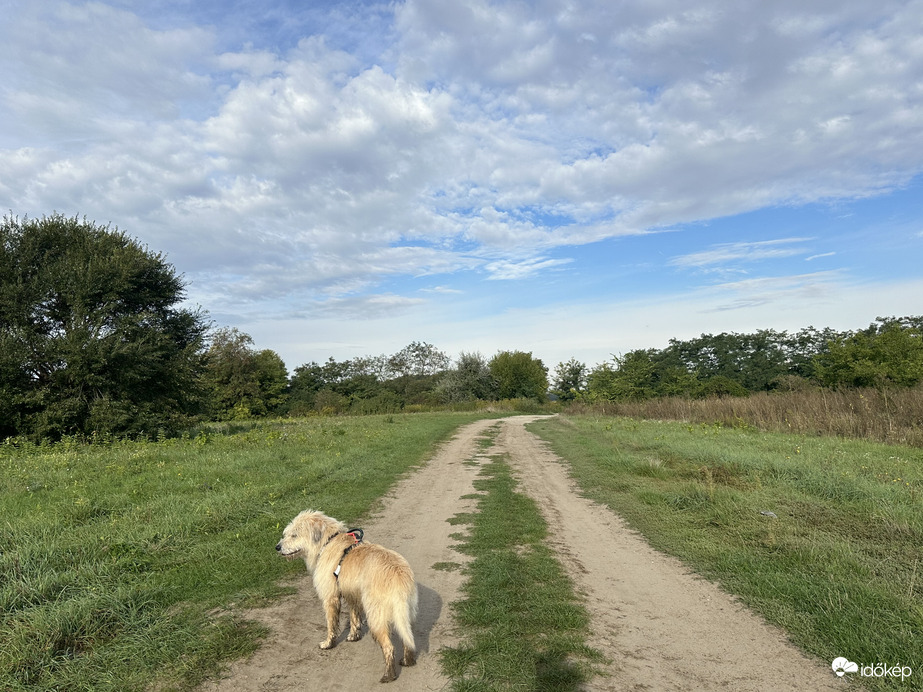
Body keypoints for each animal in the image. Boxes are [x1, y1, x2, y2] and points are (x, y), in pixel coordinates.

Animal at [274, 510, 418, 684]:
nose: (277, 547)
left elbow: (331, 625)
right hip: (406, 614)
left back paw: (388, 675)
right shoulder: (352, 594)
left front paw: (328, 643)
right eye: (287, 533)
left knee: (389, 647)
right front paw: (353, 636)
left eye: (294, 535)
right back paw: (407, 661)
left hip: (376, 616)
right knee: (407, 639)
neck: (328, 542)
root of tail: (399, 577)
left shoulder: (330, 598)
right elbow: (354, 617)